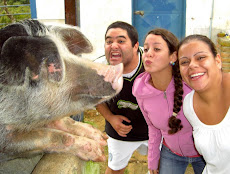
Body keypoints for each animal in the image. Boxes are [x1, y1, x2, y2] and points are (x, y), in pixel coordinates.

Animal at [0, 19, 123, 173]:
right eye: (51, 65)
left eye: (66, 50)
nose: (117, 69)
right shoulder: (5, 140)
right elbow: (48, 135)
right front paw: (98, 151)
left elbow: (64, 121)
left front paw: (99, 136)